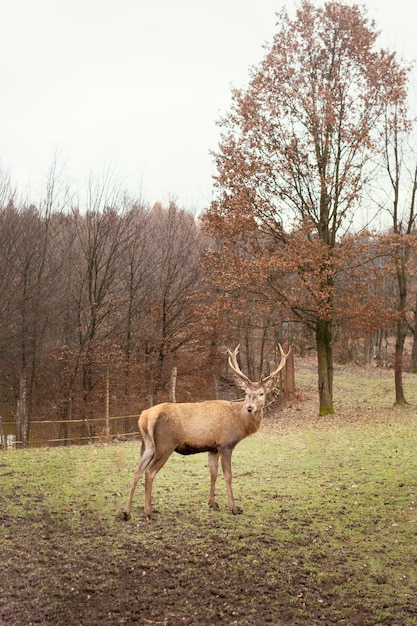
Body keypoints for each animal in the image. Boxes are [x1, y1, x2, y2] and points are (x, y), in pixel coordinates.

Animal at [120, 342, 290, 516]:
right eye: (246, 393)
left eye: (261, 393)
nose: (250, 408)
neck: (239, 421)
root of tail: (145, 416)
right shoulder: (225, 444)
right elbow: (228, 476)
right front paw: (234, 507)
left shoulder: (213, 448)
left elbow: (213, 474)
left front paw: (213, 503)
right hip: (165, 444)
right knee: (149, 472)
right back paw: (148, 511)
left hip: (147, 445)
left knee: (137, 470)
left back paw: (126, 512)